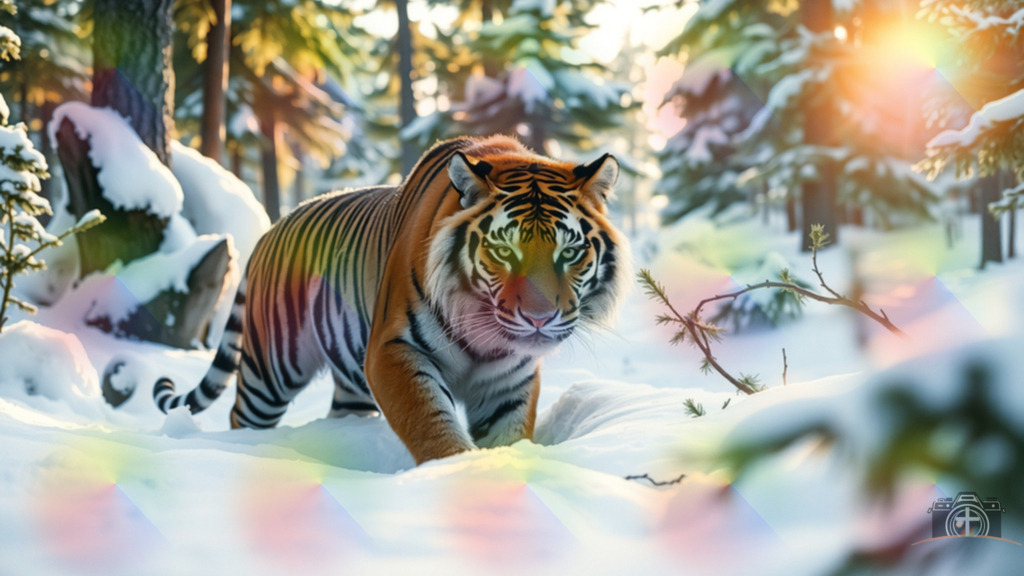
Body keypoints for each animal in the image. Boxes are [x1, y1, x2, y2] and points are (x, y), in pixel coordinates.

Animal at [152, 135, 631, 464]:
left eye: (569, 252)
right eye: (503, 250)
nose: (538, 319)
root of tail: (271, 228)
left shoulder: (509, 380)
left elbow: (507, 436)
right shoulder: (393, 349)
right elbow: (430, 425)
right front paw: (457, 472)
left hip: (349, 384)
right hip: (271, 368)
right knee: (242, 414)